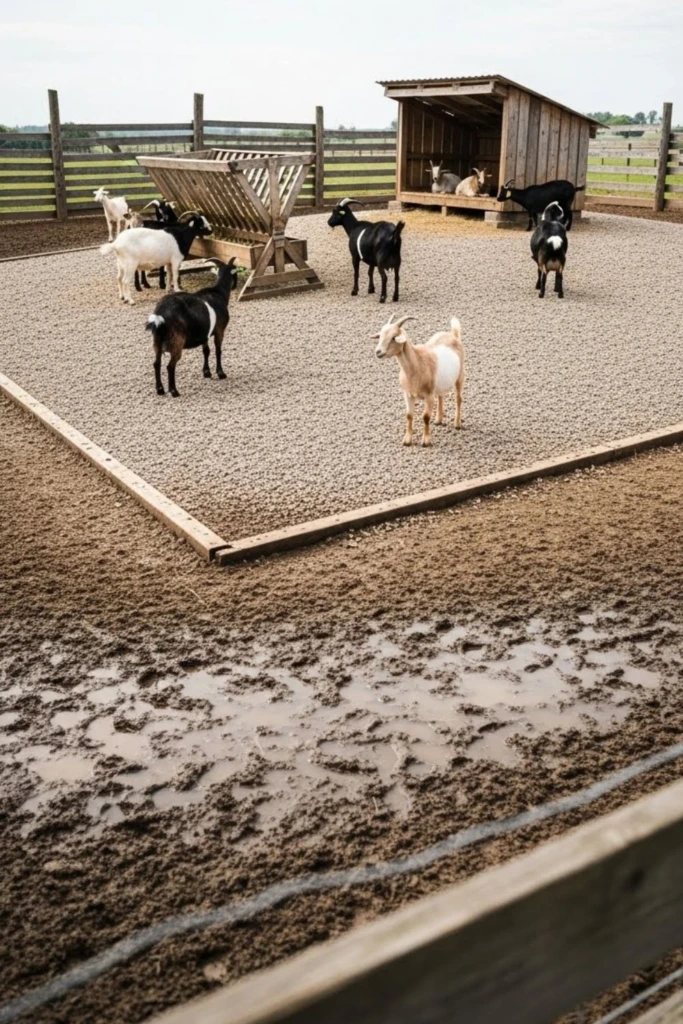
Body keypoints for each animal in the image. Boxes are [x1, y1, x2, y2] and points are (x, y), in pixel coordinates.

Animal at [145, 257, 239, 397]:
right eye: (235, 273)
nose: (235, 285)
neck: (219, 292)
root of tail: (161, 314)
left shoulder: (205, 333)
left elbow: (206, 351)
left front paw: (207, 372)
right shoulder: (219, 330)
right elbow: (218, 351)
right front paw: (221, 373)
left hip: (157, 341)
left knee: (156, 363)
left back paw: (160, 390)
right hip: (177, 340)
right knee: (170, 366)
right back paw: (174, 391)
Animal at [372, 313, 464, 446]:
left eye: (394, 337)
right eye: (380, 335)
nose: (378, 352)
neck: (417, 364)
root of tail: (453, 334)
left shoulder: (429, 395)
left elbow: (425, 417)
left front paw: (426, 441)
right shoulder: (407, 394)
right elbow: (409, 415)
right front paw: (407, 440)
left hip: (460, 375)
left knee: (458, 398)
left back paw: (457, 424)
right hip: (440, 383)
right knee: (441, 396)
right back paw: (438, 420)